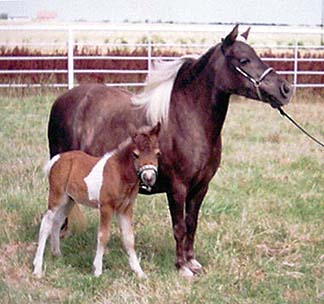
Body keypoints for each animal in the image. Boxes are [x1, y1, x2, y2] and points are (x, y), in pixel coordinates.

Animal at [33, 123, 161, 278]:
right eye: (135, 154)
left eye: (157, 153)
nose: (149, 178)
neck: (119, 172)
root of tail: (57, 159)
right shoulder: (106, 207)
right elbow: (103, 236)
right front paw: (98, 270)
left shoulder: (125, 209)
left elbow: (129, 239)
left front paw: (139, 272)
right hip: (57, 198)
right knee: (46, 224)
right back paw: (37, 268)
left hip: (69, 200)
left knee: (57, 223)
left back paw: (57, 255)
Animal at [48, 25, 294, 278]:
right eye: (244, 60)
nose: (285, 89)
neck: (188, 120)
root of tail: (62, 100)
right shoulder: (177, 187)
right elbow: (179, 226)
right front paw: (182, 267)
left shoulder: (200, 187)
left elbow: (192, 223)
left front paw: (192, 262)